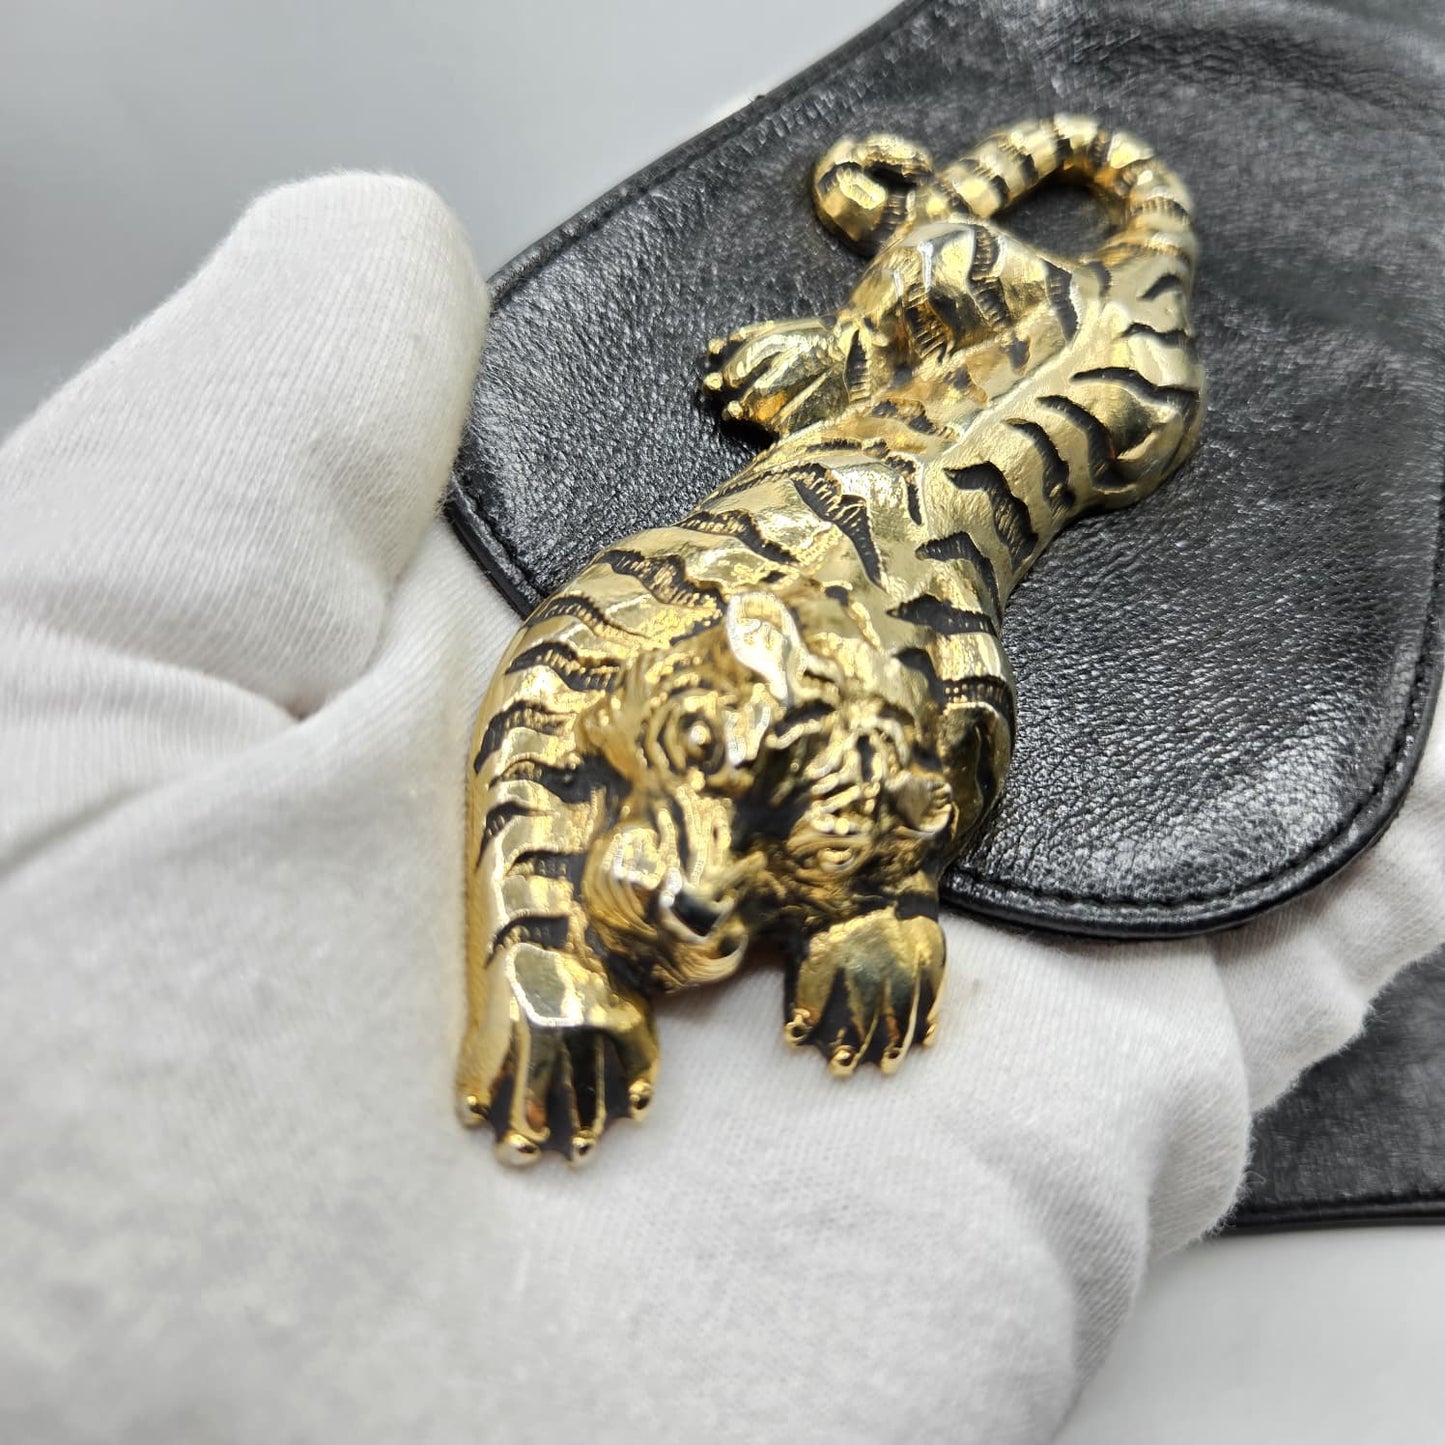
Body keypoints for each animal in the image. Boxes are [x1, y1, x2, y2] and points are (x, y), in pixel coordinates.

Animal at [457, 114, 1205, 1165]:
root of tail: (1117, 271)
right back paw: (773, 363)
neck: (854, 612)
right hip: (944, 264)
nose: (689, 917)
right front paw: (565, 1028)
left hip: (1159, 429)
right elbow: (520, 836)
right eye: (703, 751)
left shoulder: (975, 722)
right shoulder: (563, 655)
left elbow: (932, 839)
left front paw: (874, 960)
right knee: (876, 292)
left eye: (817, 855)